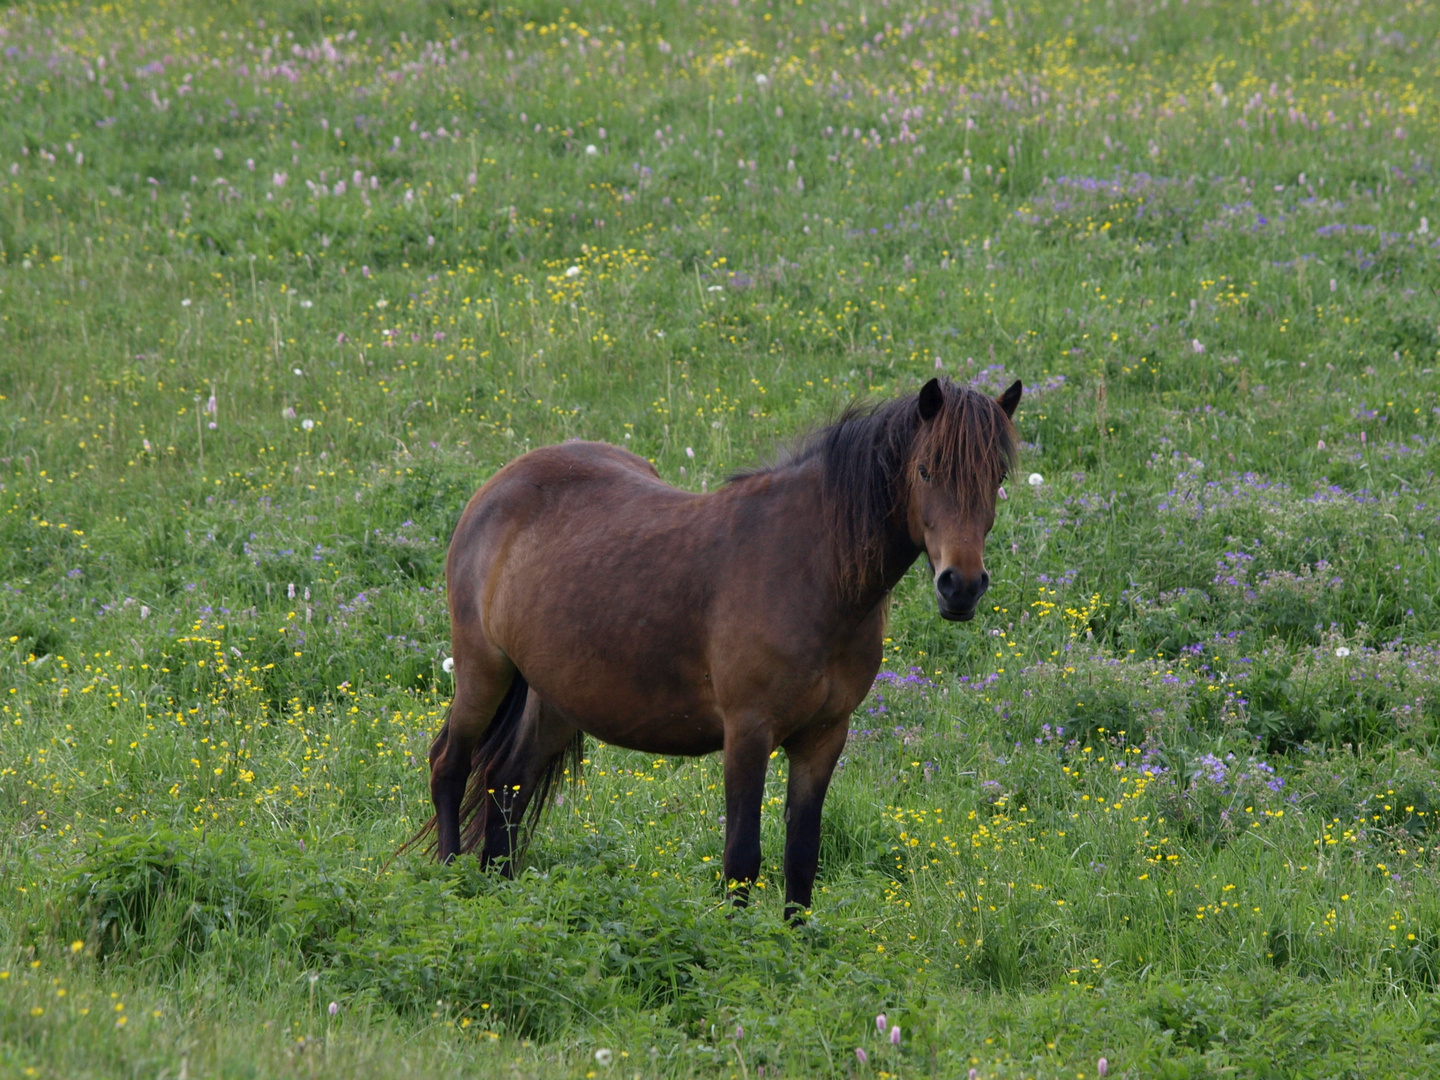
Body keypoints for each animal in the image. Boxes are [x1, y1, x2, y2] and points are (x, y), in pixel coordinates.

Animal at [420, 377, 1019, 915]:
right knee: (451, 764)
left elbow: (802, 858)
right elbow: (742, 859)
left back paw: (500, 892)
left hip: (556, 697)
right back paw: (449, 884)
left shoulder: (824, 737)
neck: (810, 569)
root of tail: (499, 486)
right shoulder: (748, 731)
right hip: (482, 670)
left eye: (996, 478)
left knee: (507, 783)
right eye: (925, 470)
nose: (961, 586)